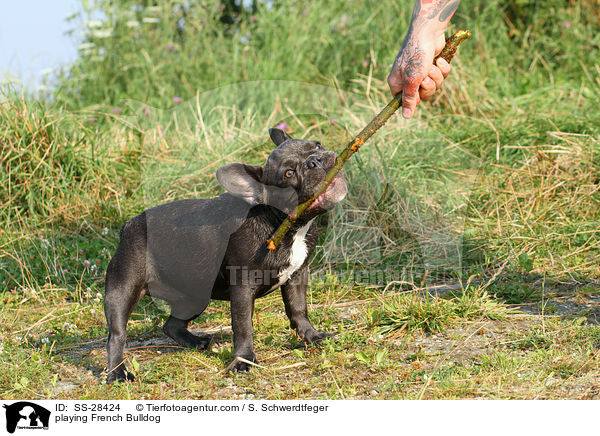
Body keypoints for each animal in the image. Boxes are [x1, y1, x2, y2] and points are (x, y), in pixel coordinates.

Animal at [104, 126, 346, 382]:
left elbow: (298, 309)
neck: (281, 223)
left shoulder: (297, 276)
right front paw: (243, 360)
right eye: (289, 173)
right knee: (117, 335)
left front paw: (313, 336)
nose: (315, 160)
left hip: (195, 297)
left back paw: (195, 342)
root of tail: (129, 225)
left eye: (317, 145)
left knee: (171, 324)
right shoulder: (243, 287)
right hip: (123, 288)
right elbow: (242, 325)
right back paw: (118, 372)